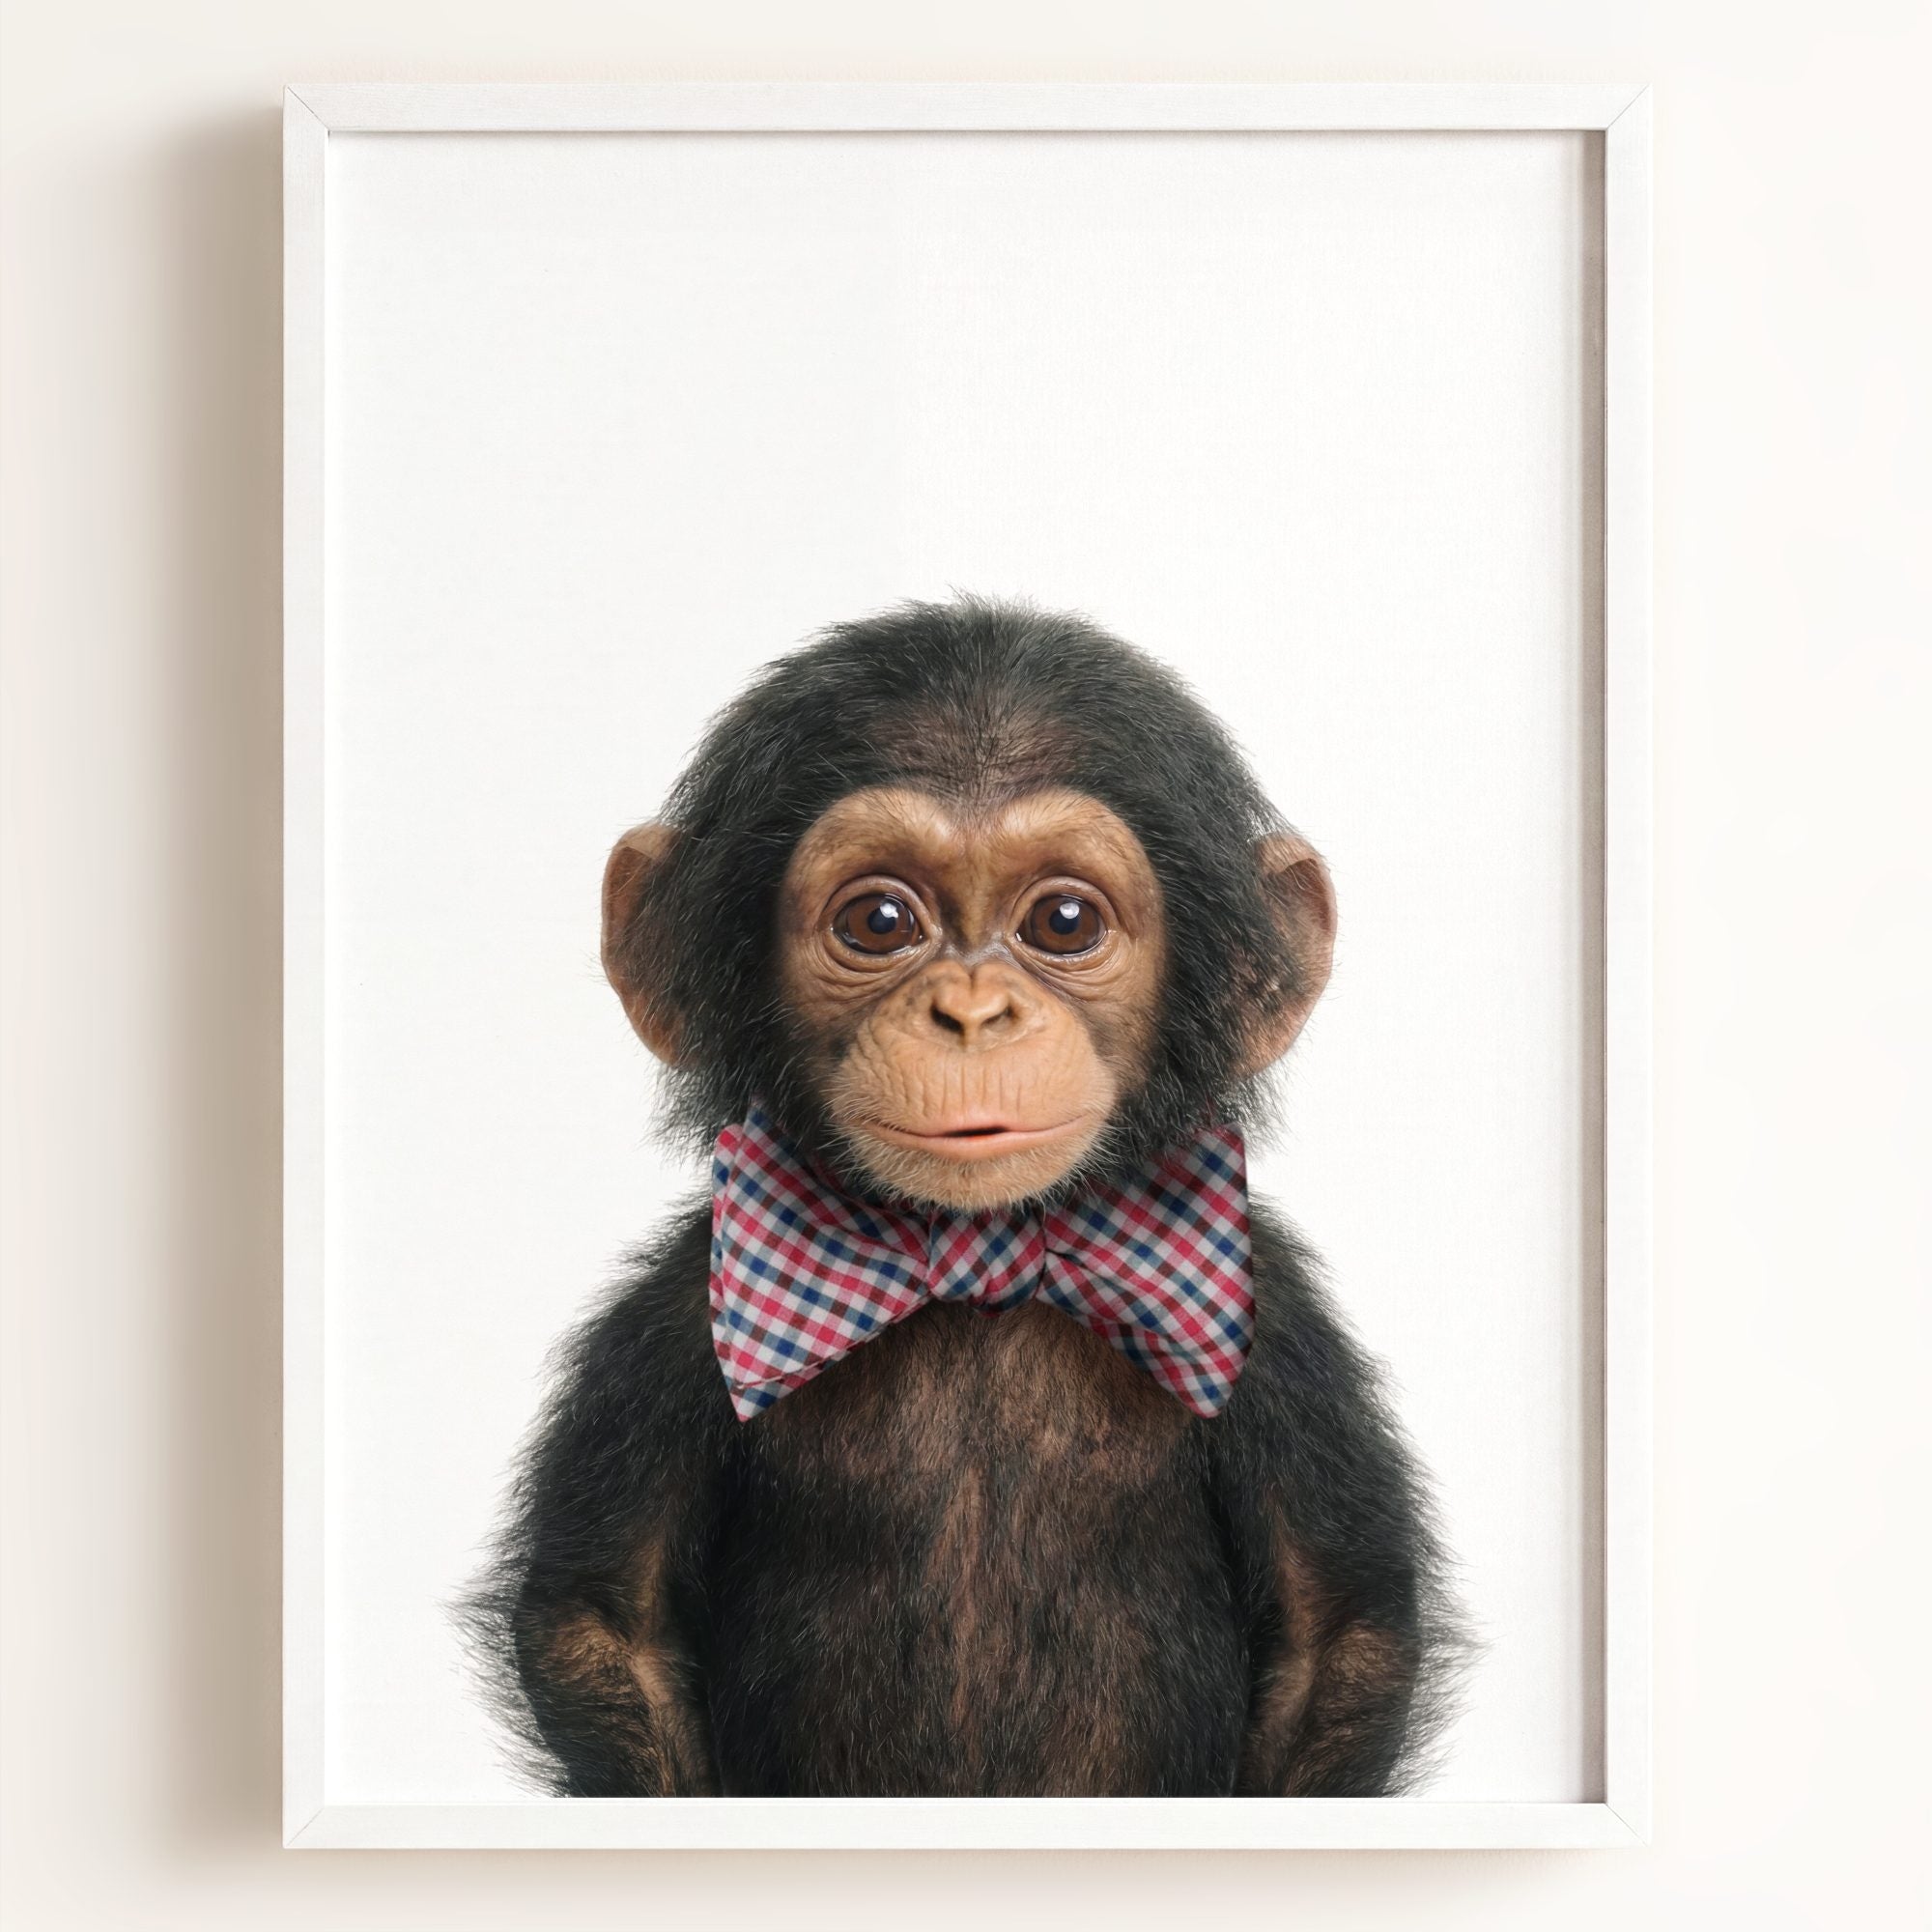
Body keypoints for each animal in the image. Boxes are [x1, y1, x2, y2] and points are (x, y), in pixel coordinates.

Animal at [462, 596, 1465, 1798]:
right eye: (880, 921)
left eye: (1064, 921)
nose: (973, 1012)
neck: (976, 1258)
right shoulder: (667, 1323)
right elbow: (606, 1621)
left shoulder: (1277, 1335)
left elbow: (1336, 1633)